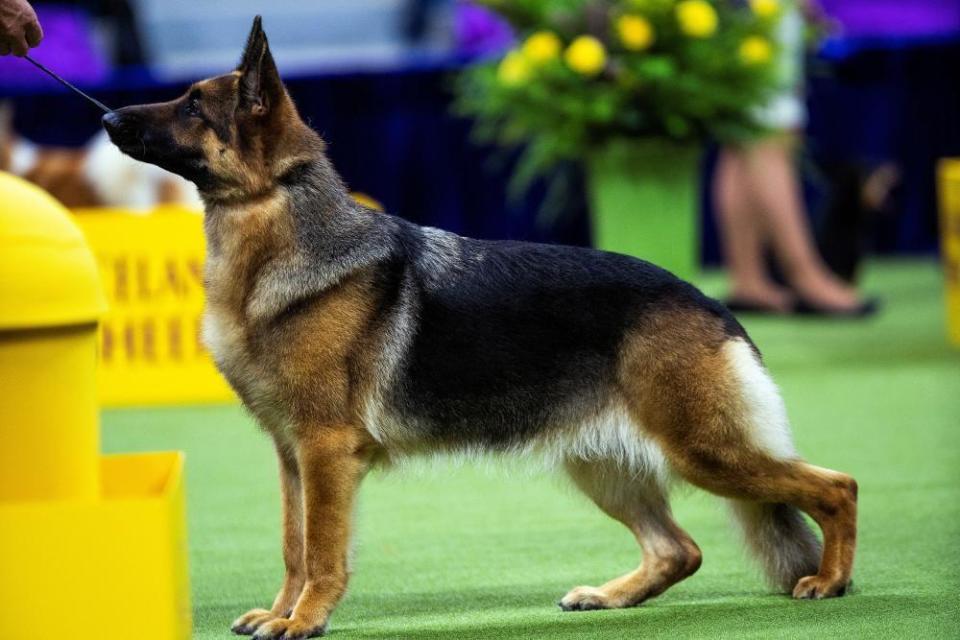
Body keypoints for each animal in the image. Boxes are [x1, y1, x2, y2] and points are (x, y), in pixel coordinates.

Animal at [99, 17, 864, 636]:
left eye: (193, 104)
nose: (106, 116)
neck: (277, 218)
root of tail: (711, 303)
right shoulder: (292, 456)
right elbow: (293, 545)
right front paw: (283, 613)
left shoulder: (324, 452)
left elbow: (321, 550)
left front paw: (306, 620)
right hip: (604, 464)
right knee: (682, 549)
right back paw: (612, 596)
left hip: (704, 451)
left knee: (837, 487)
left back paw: (830, 581)